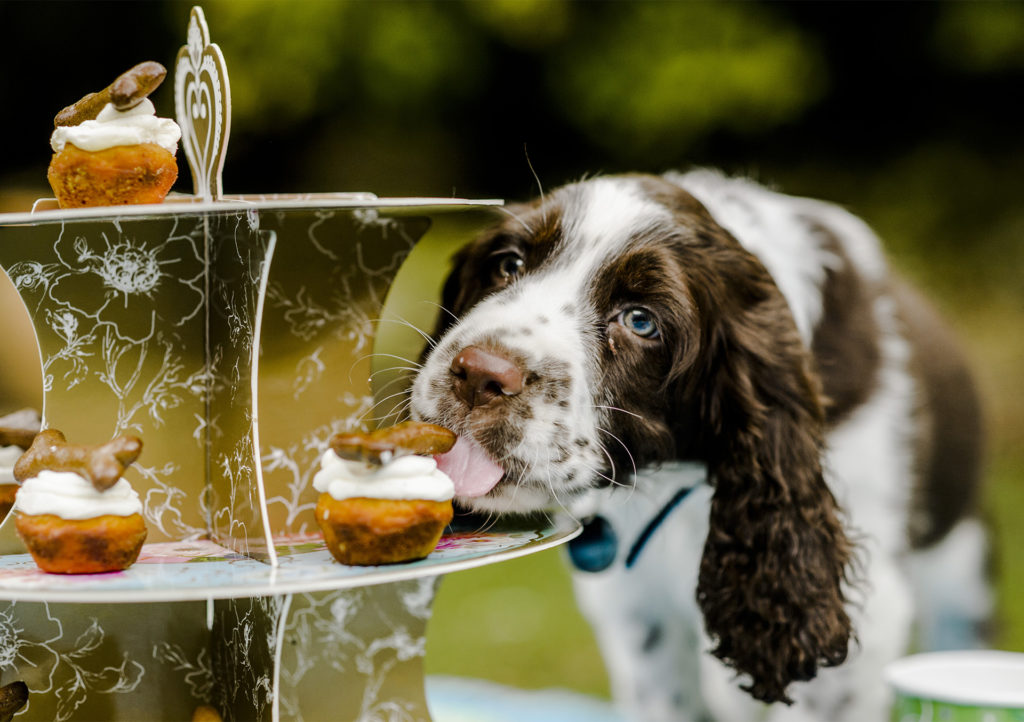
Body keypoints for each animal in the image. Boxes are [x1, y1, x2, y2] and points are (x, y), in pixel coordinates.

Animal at [409, 170, 991, 720]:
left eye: (641, 321)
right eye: (507, 265)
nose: (478, 375)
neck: (681, 477)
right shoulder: (637, 612)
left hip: (963, 576)